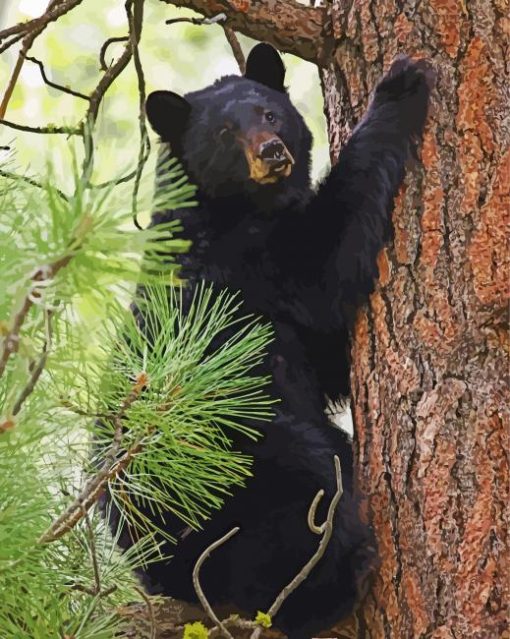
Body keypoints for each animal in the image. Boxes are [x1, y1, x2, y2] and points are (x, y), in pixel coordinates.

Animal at [129, 43, 432, 639]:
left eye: (270, 114)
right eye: (225, 132)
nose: (271, 152)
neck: (230, 208)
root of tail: (158, 572)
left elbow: (328, 354)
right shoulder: (250, 260)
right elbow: (325, 262)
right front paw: (399, 88)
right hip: (237, 461)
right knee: (301, 494)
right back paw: (337, 582)